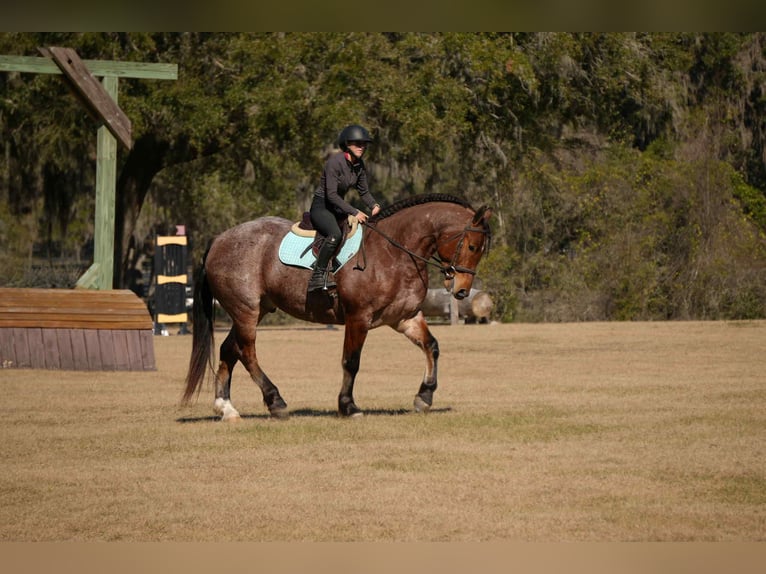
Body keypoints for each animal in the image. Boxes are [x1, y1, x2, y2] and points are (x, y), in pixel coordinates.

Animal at [182, 193, 492, 420]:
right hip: (245, 310)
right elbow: (351, 362)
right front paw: (348, 406)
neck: (394, 252)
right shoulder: (358, 317)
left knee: (229, 350)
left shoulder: (404, 317)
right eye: (472, 246)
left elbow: (432, 346)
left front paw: (424, 397)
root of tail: (219, 239)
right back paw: (276, 401)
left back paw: (226, 407)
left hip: (255, 310)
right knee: (247, 353)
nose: (462, 290)